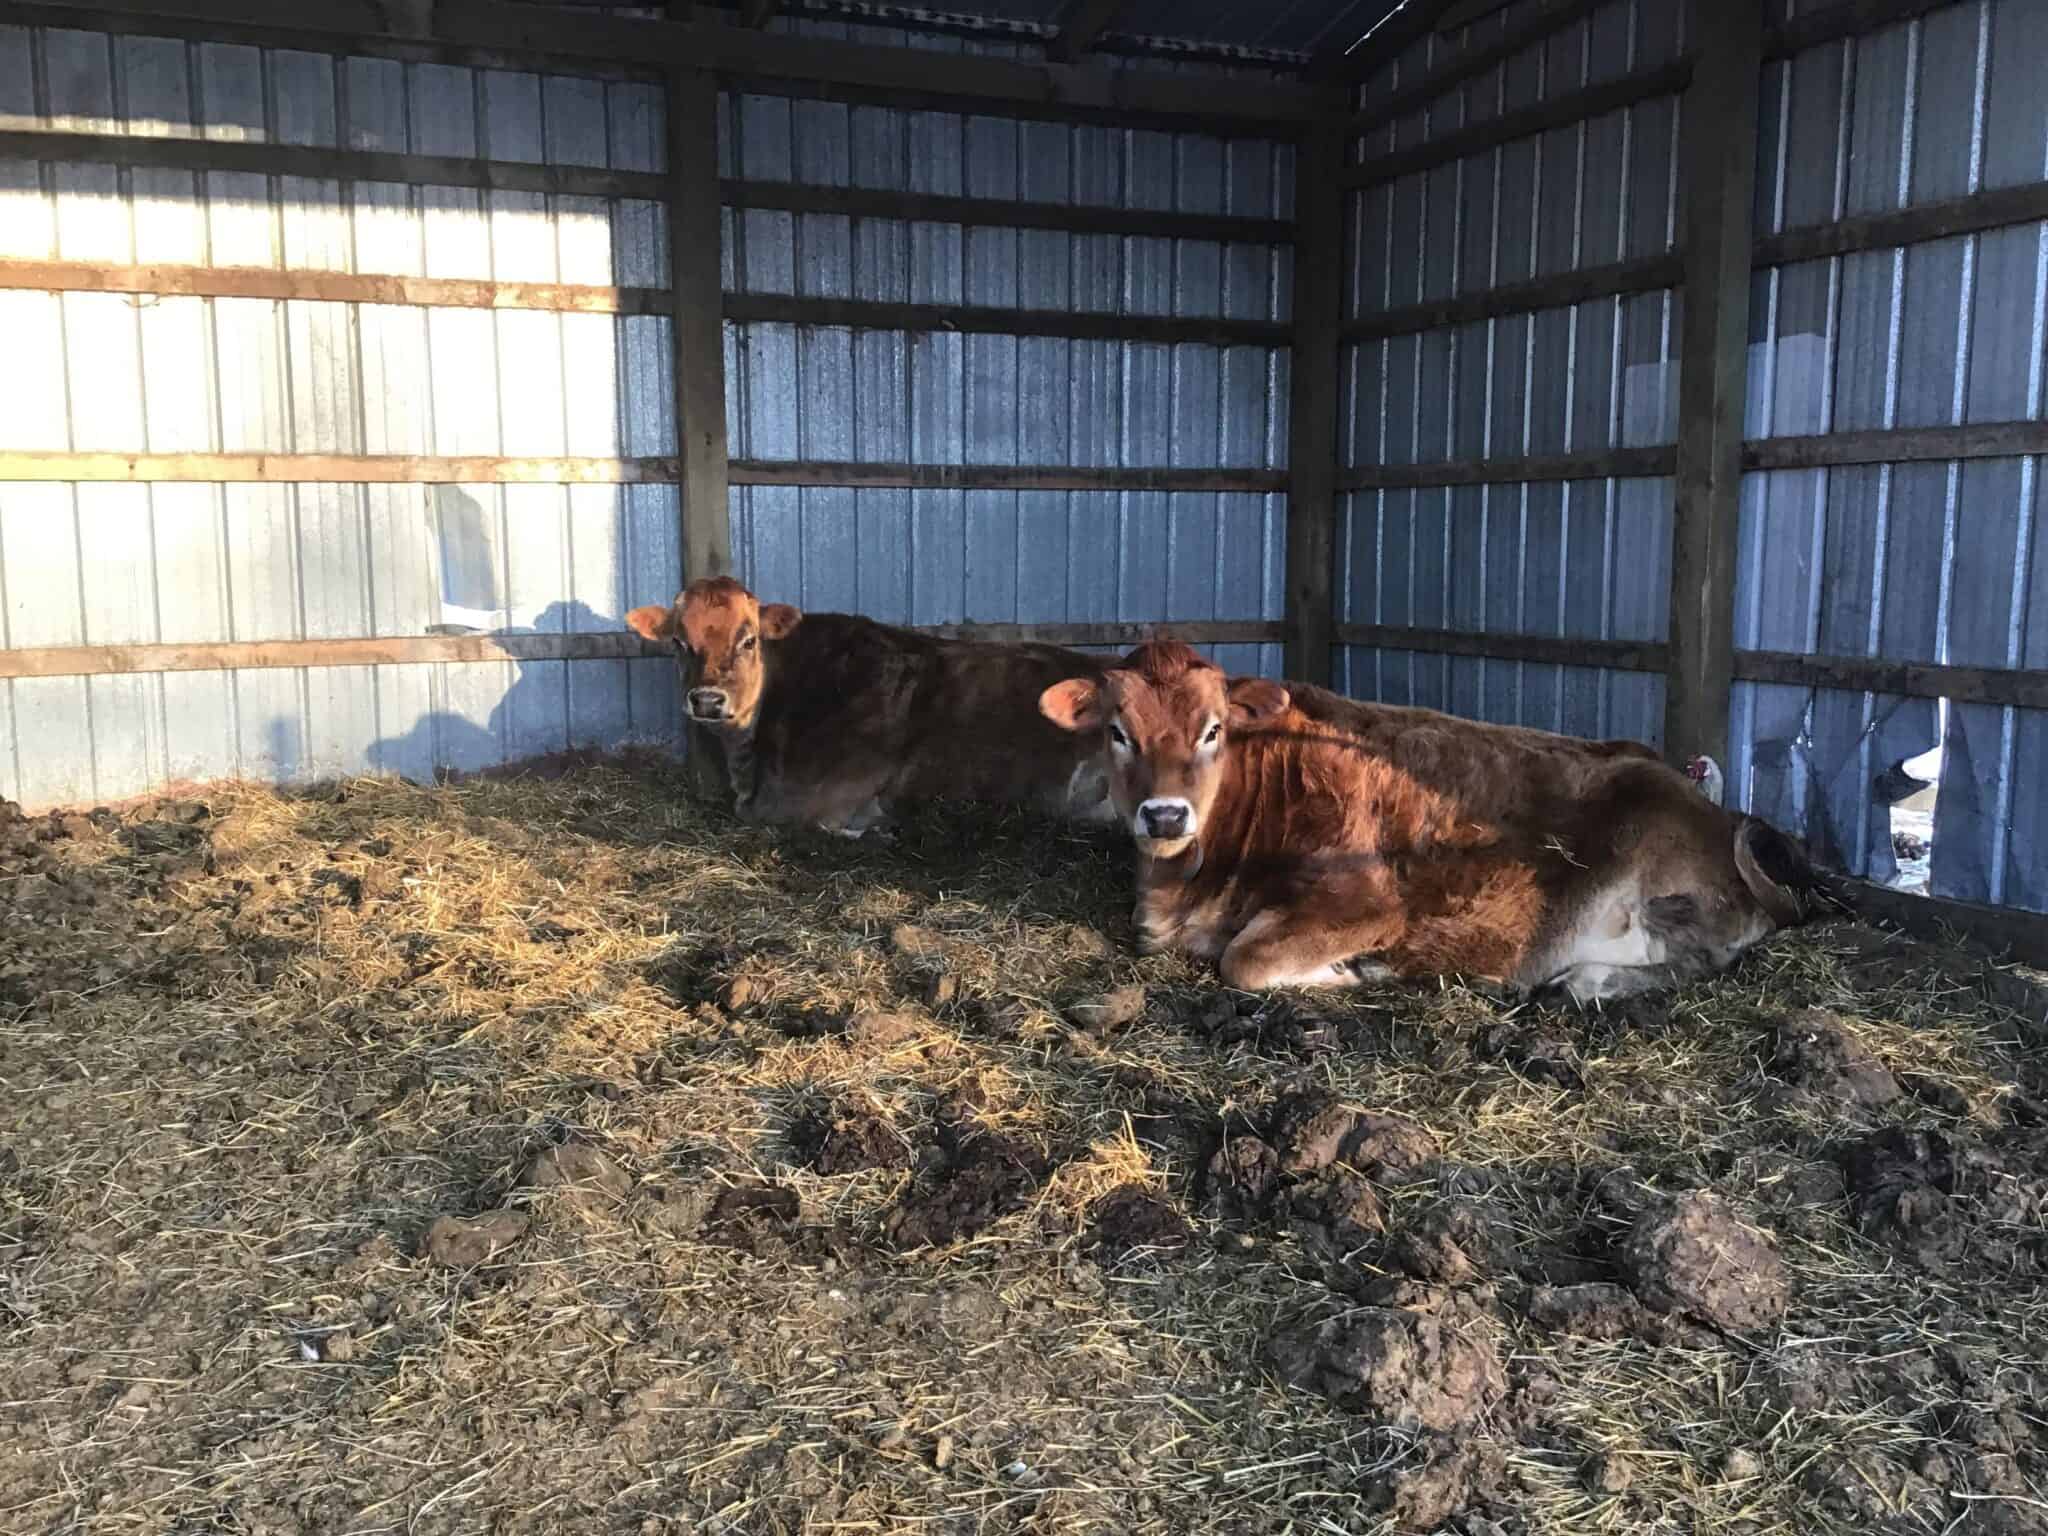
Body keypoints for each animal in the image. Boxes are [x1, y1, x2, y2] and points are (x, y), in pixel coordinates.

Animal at [1038, 640, 1824, 1004]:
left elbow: (1244, 960)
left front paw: (1352, 971)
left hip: (1667, 882)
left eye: (1212, 730)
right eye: (1118, 731)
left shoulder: (1367, 902)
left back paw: (1586, 981)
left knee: (1706, 957)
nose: (1165, 813)